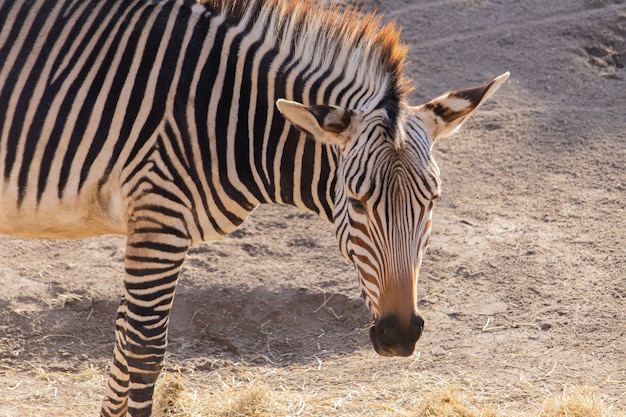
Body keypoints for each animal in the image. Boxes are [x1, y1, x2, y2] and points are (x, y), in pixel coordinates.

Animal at [0, 0, 508, 414]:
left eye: (432, 199)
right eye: (356, 200)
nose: (400, 335)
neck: (225, 116)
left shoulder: (148, 227)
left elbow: (125, 343)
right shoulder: (159, 216)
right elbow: (143, 352)